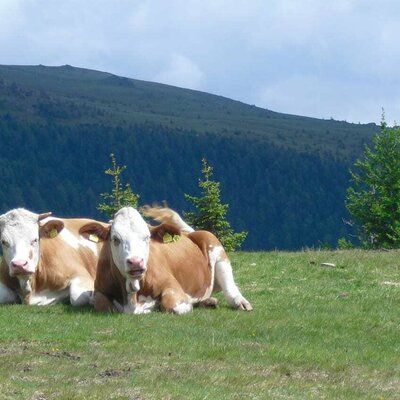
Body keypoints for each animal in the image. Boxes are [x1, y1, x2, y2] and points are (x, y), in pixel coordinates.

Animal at [79, 208, 252, 314]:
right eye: (115, 239)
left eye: (147, 237)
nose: (136, 262)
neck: (132, 296)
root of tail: (189, 233)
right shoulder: (99, 290)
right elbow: (101, 304)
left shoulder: (172, 286)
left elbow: (172, 305)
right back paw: (208, 301)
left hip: (214, 244)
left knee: (229, 286)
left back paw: (240, 302)